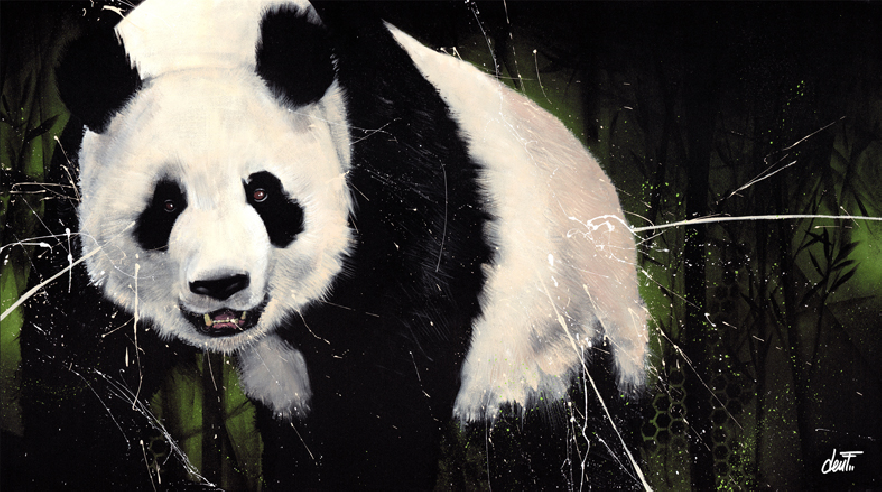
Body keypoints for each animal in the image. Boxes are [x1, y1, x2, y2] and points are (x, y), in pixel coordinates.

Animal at [41, 0, 647, 488]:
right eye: (167, 204)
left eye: (262, 191)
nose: (222, 285)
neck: (206, 32)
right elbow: (79, 370)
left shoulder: (392, 164)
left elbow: (390, 377)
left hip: (566, 326)